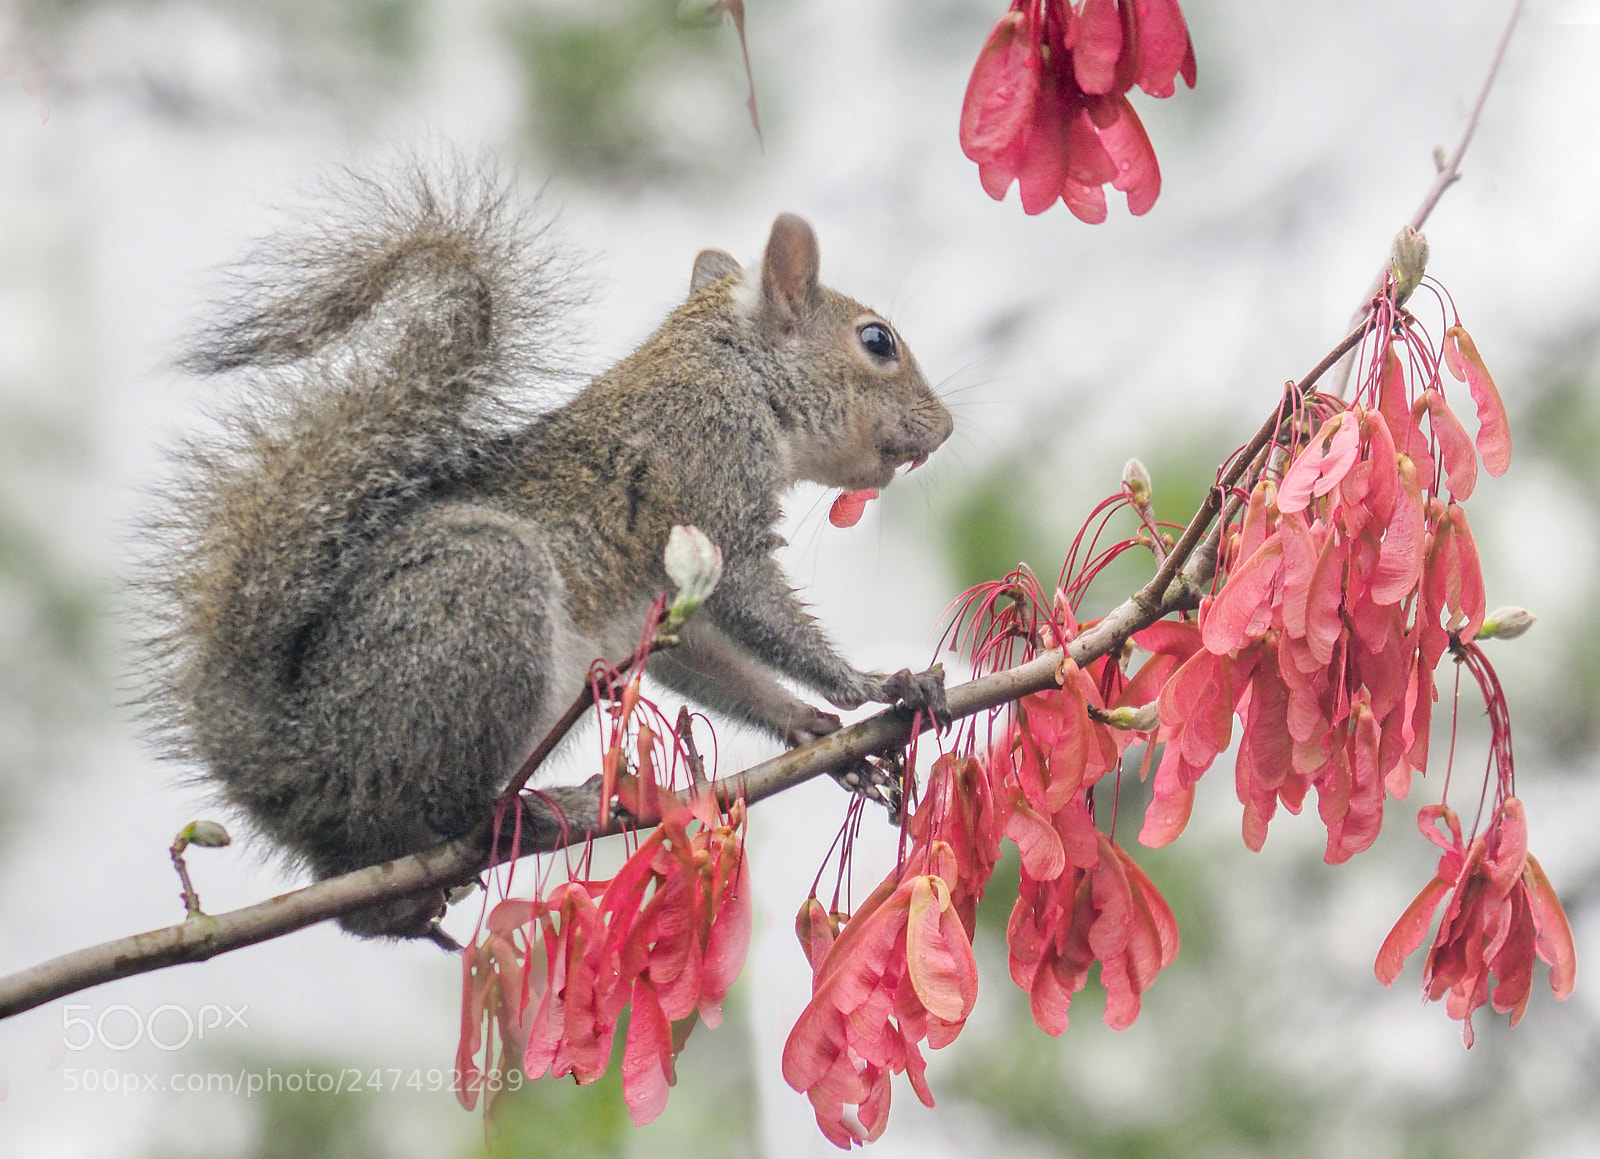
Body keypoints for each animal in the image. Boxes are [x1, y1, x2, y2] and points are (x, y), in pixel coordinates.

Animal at [144, 166, 953, 943]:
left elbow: (708, 656)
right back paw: (544, 810)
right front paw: (876, 684)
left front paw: (812, 728)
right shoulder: (709, 482)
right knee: (448, 810)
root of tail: (290, 764)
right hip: (480, 607)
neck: (736, 373)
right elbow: (760, 608)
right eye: (876, 341)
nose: (944, 427)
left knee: (365, 905)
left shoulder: (666, 601)